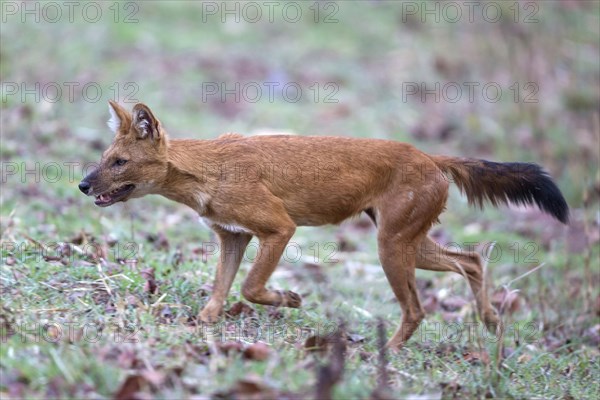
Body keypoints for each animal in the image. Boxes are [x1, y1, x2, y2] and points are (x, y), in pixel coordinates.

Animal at [78, 102, 568, 350]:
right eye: (104, 157)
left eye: (119, 162)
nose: (82, 184)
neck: (208, 171)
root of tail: (430, 156)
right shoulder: (232, 236)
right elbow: (218, 293)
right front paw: (198, 328)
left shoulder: (278, 229)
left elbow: (249, 287)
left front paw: (290, 299)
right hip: (408, 241)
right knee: (471, 260)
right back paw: (490, 321)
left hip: (391, 245)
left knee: (418, 307)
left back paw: (385, 353)